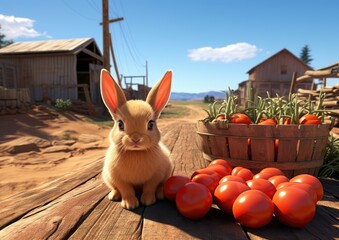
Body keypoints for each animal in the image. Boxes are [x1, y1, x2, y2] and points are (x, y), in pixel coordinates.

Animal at [98, 68, 173, 209]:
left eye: (150, 124)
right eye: (120, 124)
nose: (136, 139)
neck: (135, 152)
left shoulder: (155, 177)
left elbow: (150, 188)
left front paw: (148, 201)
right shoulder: (118, 178)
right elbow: (126, 190)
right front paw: (130, 204)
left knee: (161, 185)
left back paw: (160, 194)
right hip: (107, 178)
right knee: (115, 188)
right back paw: (113, 196)